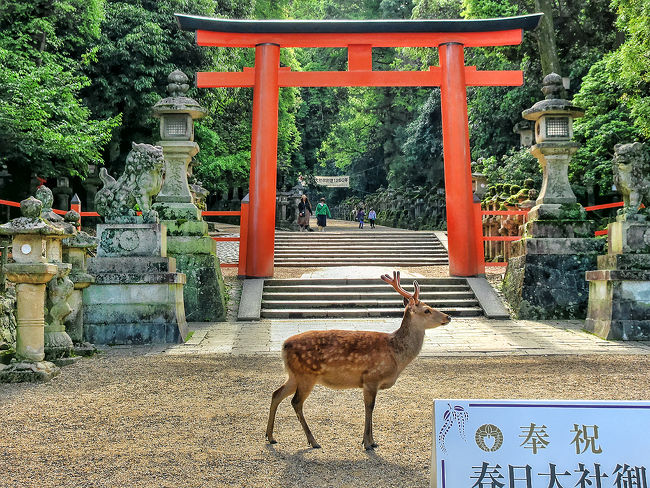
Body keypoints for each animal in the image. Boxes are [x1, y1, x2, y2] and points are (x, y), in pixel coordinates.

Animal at [264, 270, 450, 450]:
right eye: (427, 310)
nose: (448, 317)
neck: (396, 356)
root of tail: (284, 346)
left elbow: (371, 408)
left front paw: (373, 441)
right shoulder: (371, 378)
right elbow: (370, 407)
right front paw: (367, 443)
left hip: (294, 375)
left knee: (276, 394)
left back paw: (270, 436)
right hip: (306, 375)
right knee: (295, 402)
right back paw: (313, 441)